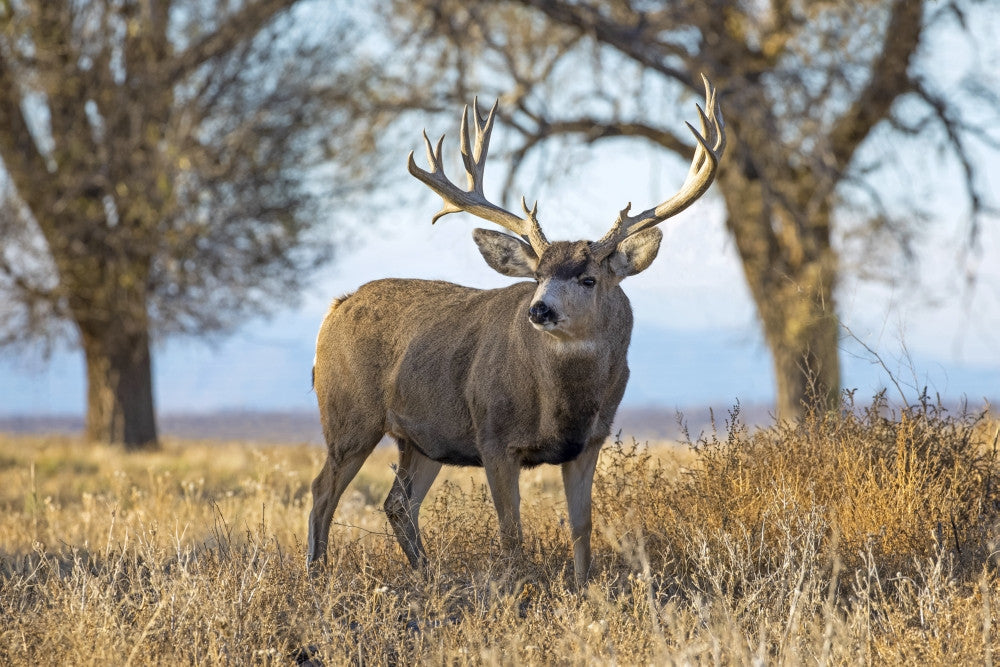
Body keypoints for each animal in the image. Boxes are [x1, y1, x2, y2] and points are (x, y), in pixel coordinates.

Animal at [307, 76, 725, 585]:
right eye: (537, 275)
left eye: (589, 278)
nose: (539, 309)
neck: (561, 403)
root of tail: (335, 308)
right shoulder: (493, 436)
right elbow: (512, 534)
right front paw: (518, 589)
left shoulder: (590, 441)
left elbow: (582, 527)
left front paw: (583, 588)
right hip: (349, 415)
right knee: (322, 491)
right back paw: (316, 576)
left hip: (423, 439)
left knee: (398, 503)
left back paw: (427, 577)